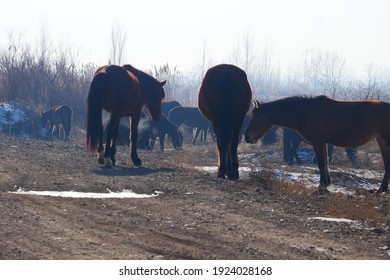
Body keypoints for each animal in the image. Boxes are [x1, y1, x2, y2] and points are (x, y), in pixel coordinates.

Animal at [245, 95, 390, 194]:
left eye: (256, 117)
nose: (247, 137)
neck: (306, 112)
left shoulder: (318, 142)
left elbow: (321, 162)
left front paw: (322, 185)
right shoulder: (323, 143)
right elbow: (325, 162)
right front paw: (326, 183)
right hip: (381, 141)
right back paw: (381, 189)